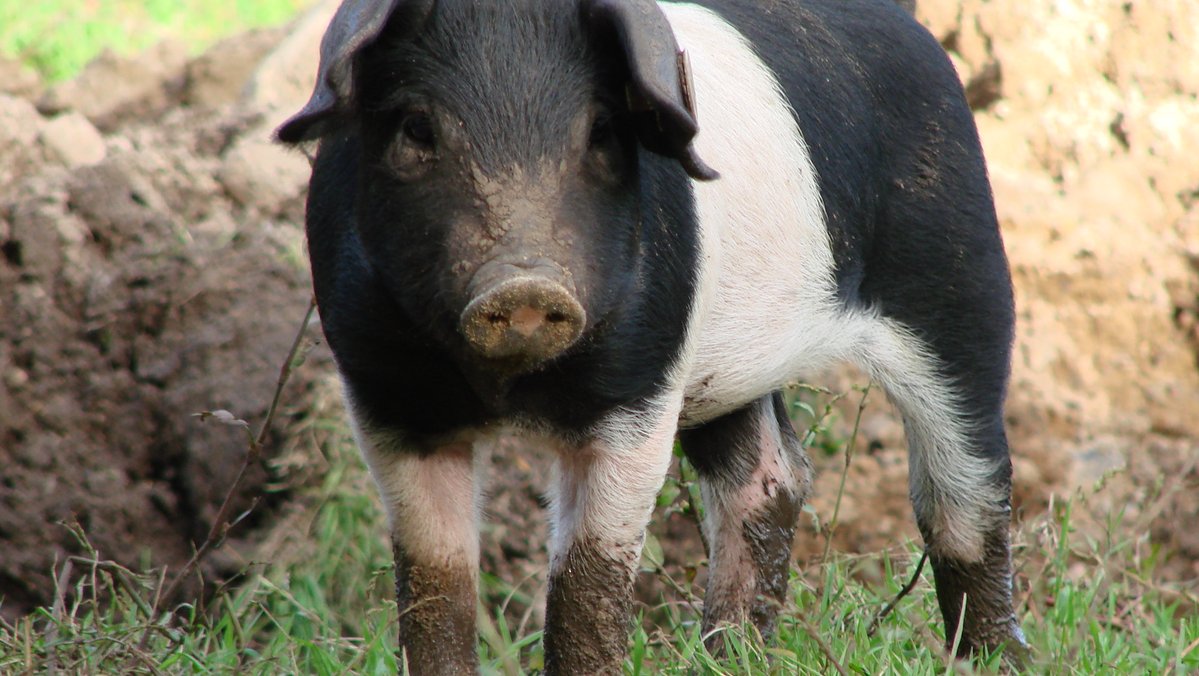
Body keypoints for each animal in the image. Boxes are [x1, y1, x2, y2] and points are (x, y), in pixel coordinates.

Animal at [276, 0, 1028, 672]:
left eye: (601, 131)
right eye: (416, 128)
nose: (524, 288)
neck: (511, 388)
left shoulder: (640, 385)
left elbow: (588, 583)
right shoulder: (389, 397)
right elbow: (435, 584)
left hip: (960, 272)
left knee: (966, 489)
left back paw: (993, 659)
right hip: (731, 370)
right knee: (771, 478)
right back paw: (729, 657)